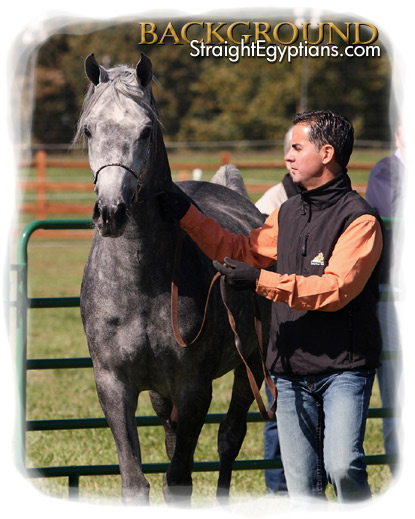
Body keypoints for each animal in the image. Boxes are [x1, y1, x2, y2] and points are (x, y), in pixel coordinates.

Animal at [77, 54, 272, 506]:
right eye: (89, 129)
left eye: (146, 130)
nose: (111, 213)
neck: (141, 285)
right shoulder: (114, 384)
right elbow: (135, 480)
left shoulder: (193, 386)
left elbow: (180, 476)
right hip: (161, 392)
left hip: (251, 363)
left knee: (229, 437)